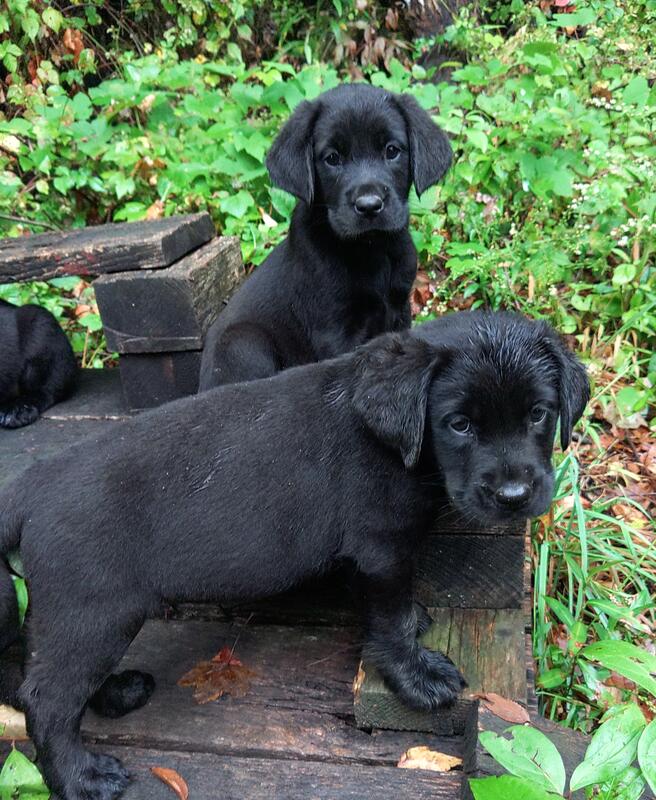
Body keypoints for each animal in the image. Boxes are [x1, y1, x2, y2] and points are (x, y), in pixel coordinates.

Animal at [0, 312, 588, 800]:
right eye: (460, 424)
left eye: (539, 414)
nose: (514, 496)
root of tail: (33, 482)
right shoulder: (381, 548)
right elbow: (390, 619)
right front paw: (416, 678)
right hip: (94, 612)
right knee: (45, 699)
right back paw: (81, 779)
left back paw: (116, 693)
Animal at [198, 83, 452, 390]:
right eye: (332, 158)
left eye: (392, 151)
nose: (369, 205)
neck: (372, 248)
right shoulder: (334, 331)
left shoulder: (399, 311)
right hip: (242, 343)